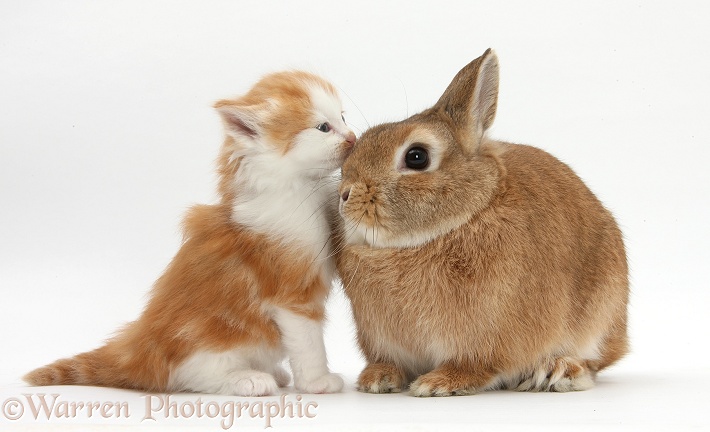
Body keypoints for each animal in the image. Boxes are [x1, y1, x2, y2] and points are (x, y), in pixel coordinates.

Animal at [25, 70, 358, 394]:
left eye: (343, 117)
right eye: (324, 127)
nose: (353, 137)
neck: (298, 188)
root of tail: (135, 352)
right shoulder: (291, 291)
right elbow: (308, 342)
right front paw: (317, 382)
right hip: (208, 345)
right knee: (191, 376)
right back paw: (249, 379)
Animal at [336, 49, 632, 396]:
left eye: (417, 157)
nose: (345, 194)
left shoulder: (486, 336)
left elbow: (476, 365)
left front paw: (438, 383)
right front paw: (377, 379)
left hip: (601, 313)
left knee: (591, 361)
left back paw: (558, 371)